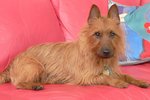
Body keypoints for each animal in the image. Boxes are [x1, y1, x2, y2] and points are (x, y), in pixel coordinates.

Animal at [0, 3, 149, 90]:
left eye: (112, 34)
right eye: (97, 34)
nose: (107, 52)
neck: (100, 60)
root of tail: (12, 62)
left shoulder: (114, 72)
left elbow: (127, 76)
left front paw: (139, 81)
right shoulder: (86, 77)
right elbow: (105, 77)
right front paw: (117, 82)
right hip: (35, 66)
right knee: (18, 84)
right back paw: (34, 86)